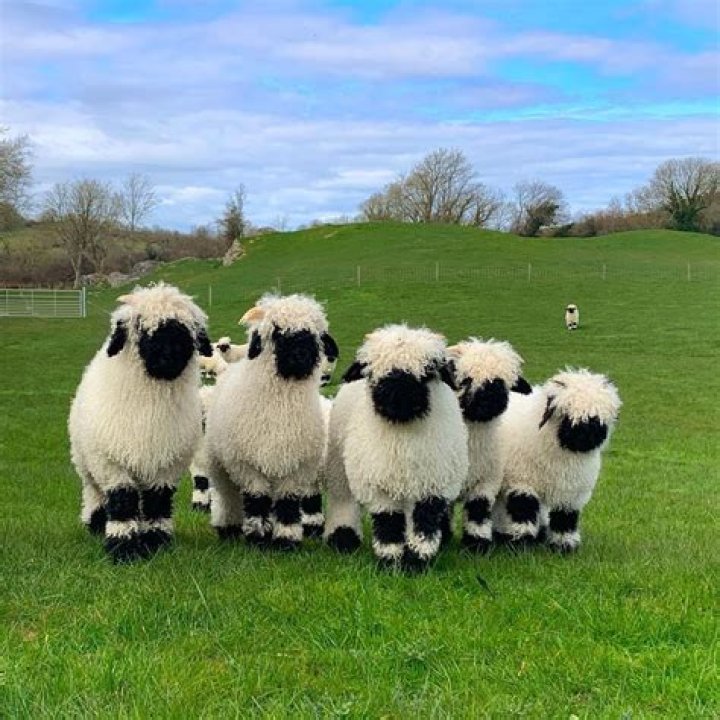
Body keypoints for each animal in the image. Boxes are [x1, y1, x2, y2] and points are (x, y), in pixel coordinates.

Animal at [68, 283, 213, 563]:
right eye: (141, 328)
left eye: (187, 329)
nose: (170, 356)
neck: (151, 410)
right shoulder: (112, 463)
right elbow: (123, 503)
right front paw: (123, 549)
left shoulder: (166, 465)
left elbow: (157, 504)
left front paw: (156, 543)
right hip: (87, 462)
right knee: (94, 493)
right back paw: (96, 524)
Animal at [205, 293, 338, 550]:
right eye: (276, 332)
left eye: (314, 333)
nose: (301, 356)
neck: (280, 409)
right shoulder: (248, 465)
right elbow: (257, 501)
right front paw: (257, 537)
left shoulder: (294, 466)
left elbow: (287, 504)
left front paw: (286, 540)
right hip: (221, 462)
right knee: (227, 496)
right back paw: (228, 528)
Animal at [324, 325, 468, 573]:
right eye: (373, 373)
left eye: (428, 372)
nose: (398, 398)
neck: (402, 438)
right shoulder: (379, 485)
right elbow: (388, 523)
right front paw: (390, 562)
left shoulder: (432, 484)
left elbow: (424, 523)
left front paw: (416, 562)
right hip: (339, 465)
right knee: (343, 499)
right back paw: (343, 538)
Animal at [445, 338, 524, 553]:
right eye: (466, 380)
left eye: (501, 381)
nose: (489, 399)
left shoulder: (487, 481)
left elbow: (478, 511)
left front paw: (477, 545)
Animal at [492, 369, 621, 553]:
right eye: (566, 413)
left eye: (597, 417)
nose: (587, 435)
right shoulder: (522, 482)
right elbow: (523, 512)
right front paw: (521, 544)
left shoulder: (570, 492)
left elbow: (565, 518)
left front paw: (564, 547)